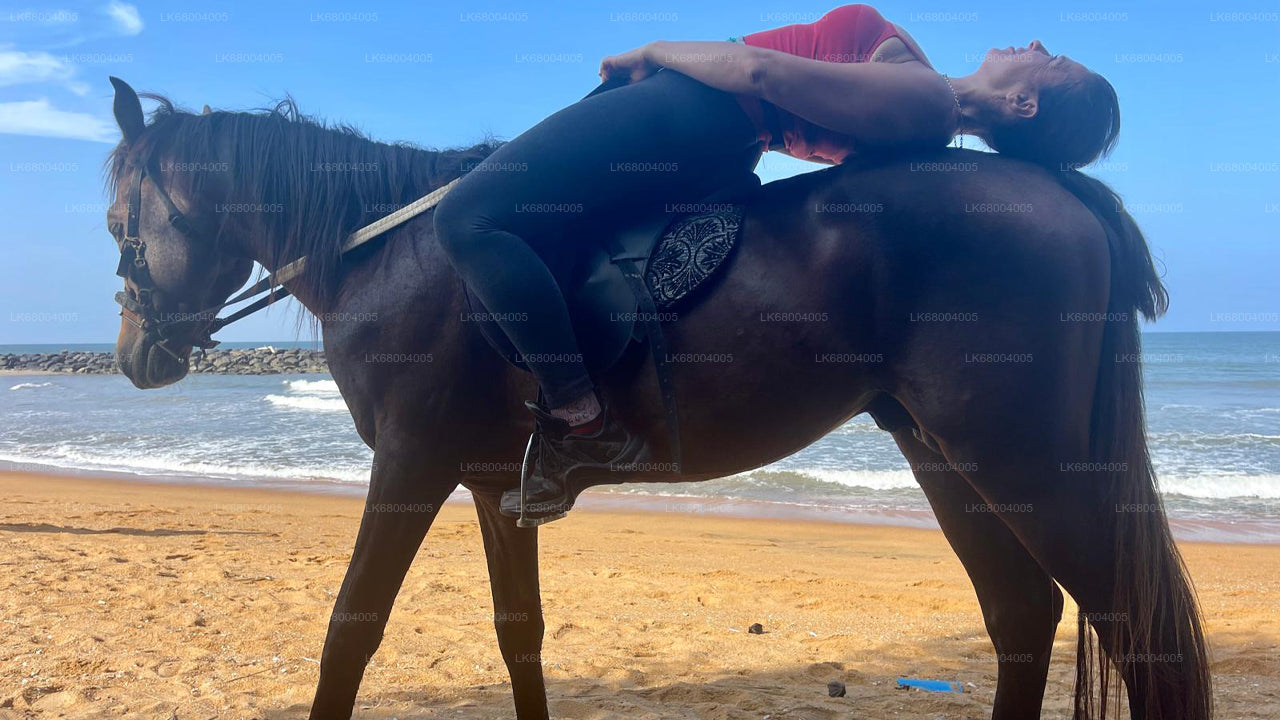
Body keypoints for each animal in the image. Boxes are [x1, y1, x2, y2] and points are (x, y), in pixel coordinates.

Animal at [102, 77, 1211, 720]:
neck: (384, 251)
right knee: (1021, 611)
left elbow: (350, 631)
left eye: (121, 221)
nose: (135, 355)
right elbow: (519, 636)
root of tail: (1054, 186)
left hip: (1024, 459)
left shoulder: (409, 465)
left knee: (1131, 625)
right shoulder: (490, 486)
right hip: (942, 453)